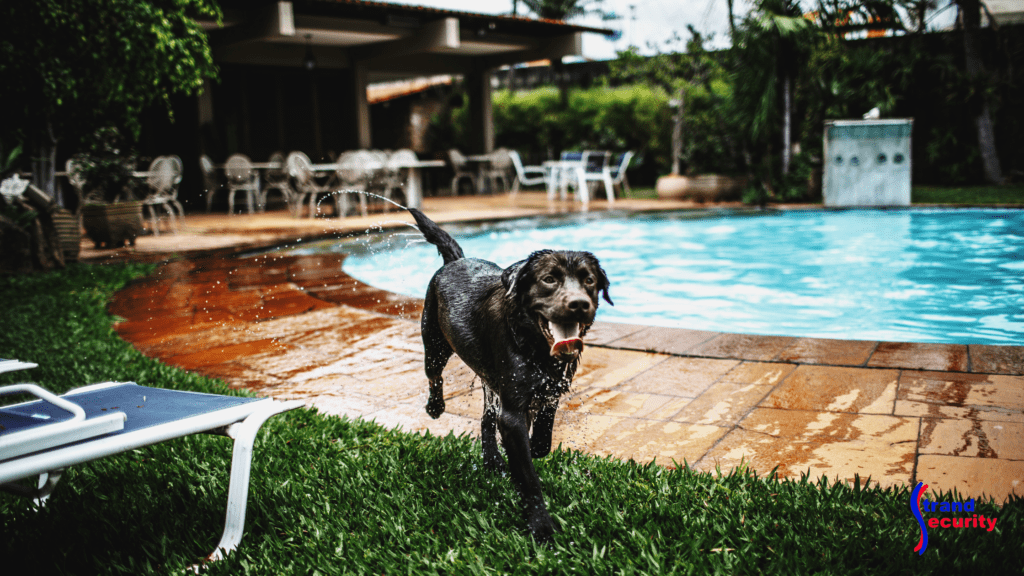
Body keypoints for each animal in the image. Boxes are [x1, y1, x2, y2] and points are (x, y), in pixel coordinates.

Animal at [407, 208, 610, 541]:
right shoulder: (512, 411)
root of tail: (455, 260)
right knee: (434, 377)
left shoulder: (550, 385)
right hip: (434, 344)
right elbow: (527, 475)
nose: (579, 304)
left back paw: (492, 461)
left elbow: (543, 430)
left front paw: (536, 443)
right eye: (549, 279)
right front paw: (541, 527)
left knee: (486, 419)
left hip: (489, 379)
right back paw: (435, 407)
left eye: (589, 280)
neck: (533, 344)